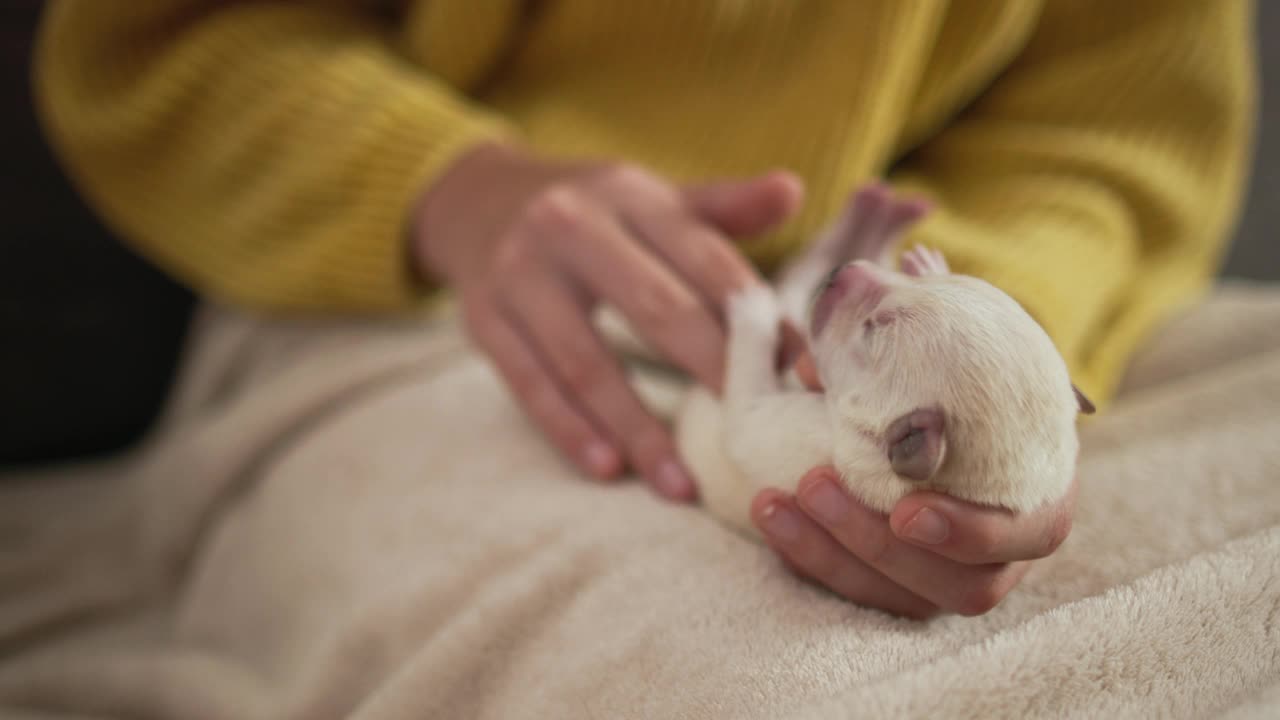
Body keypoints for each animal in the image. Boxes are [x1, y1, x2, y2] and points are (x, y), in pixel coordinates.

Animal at [675, 181, 1095, 535]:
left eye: (872, 328)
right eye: (935, 284)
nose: (841, 271)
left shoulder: (799, 435)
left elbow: (744, 410)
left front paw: (752, 305)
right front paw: (928, 264)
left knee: (794, 282)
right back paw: (882, 214)